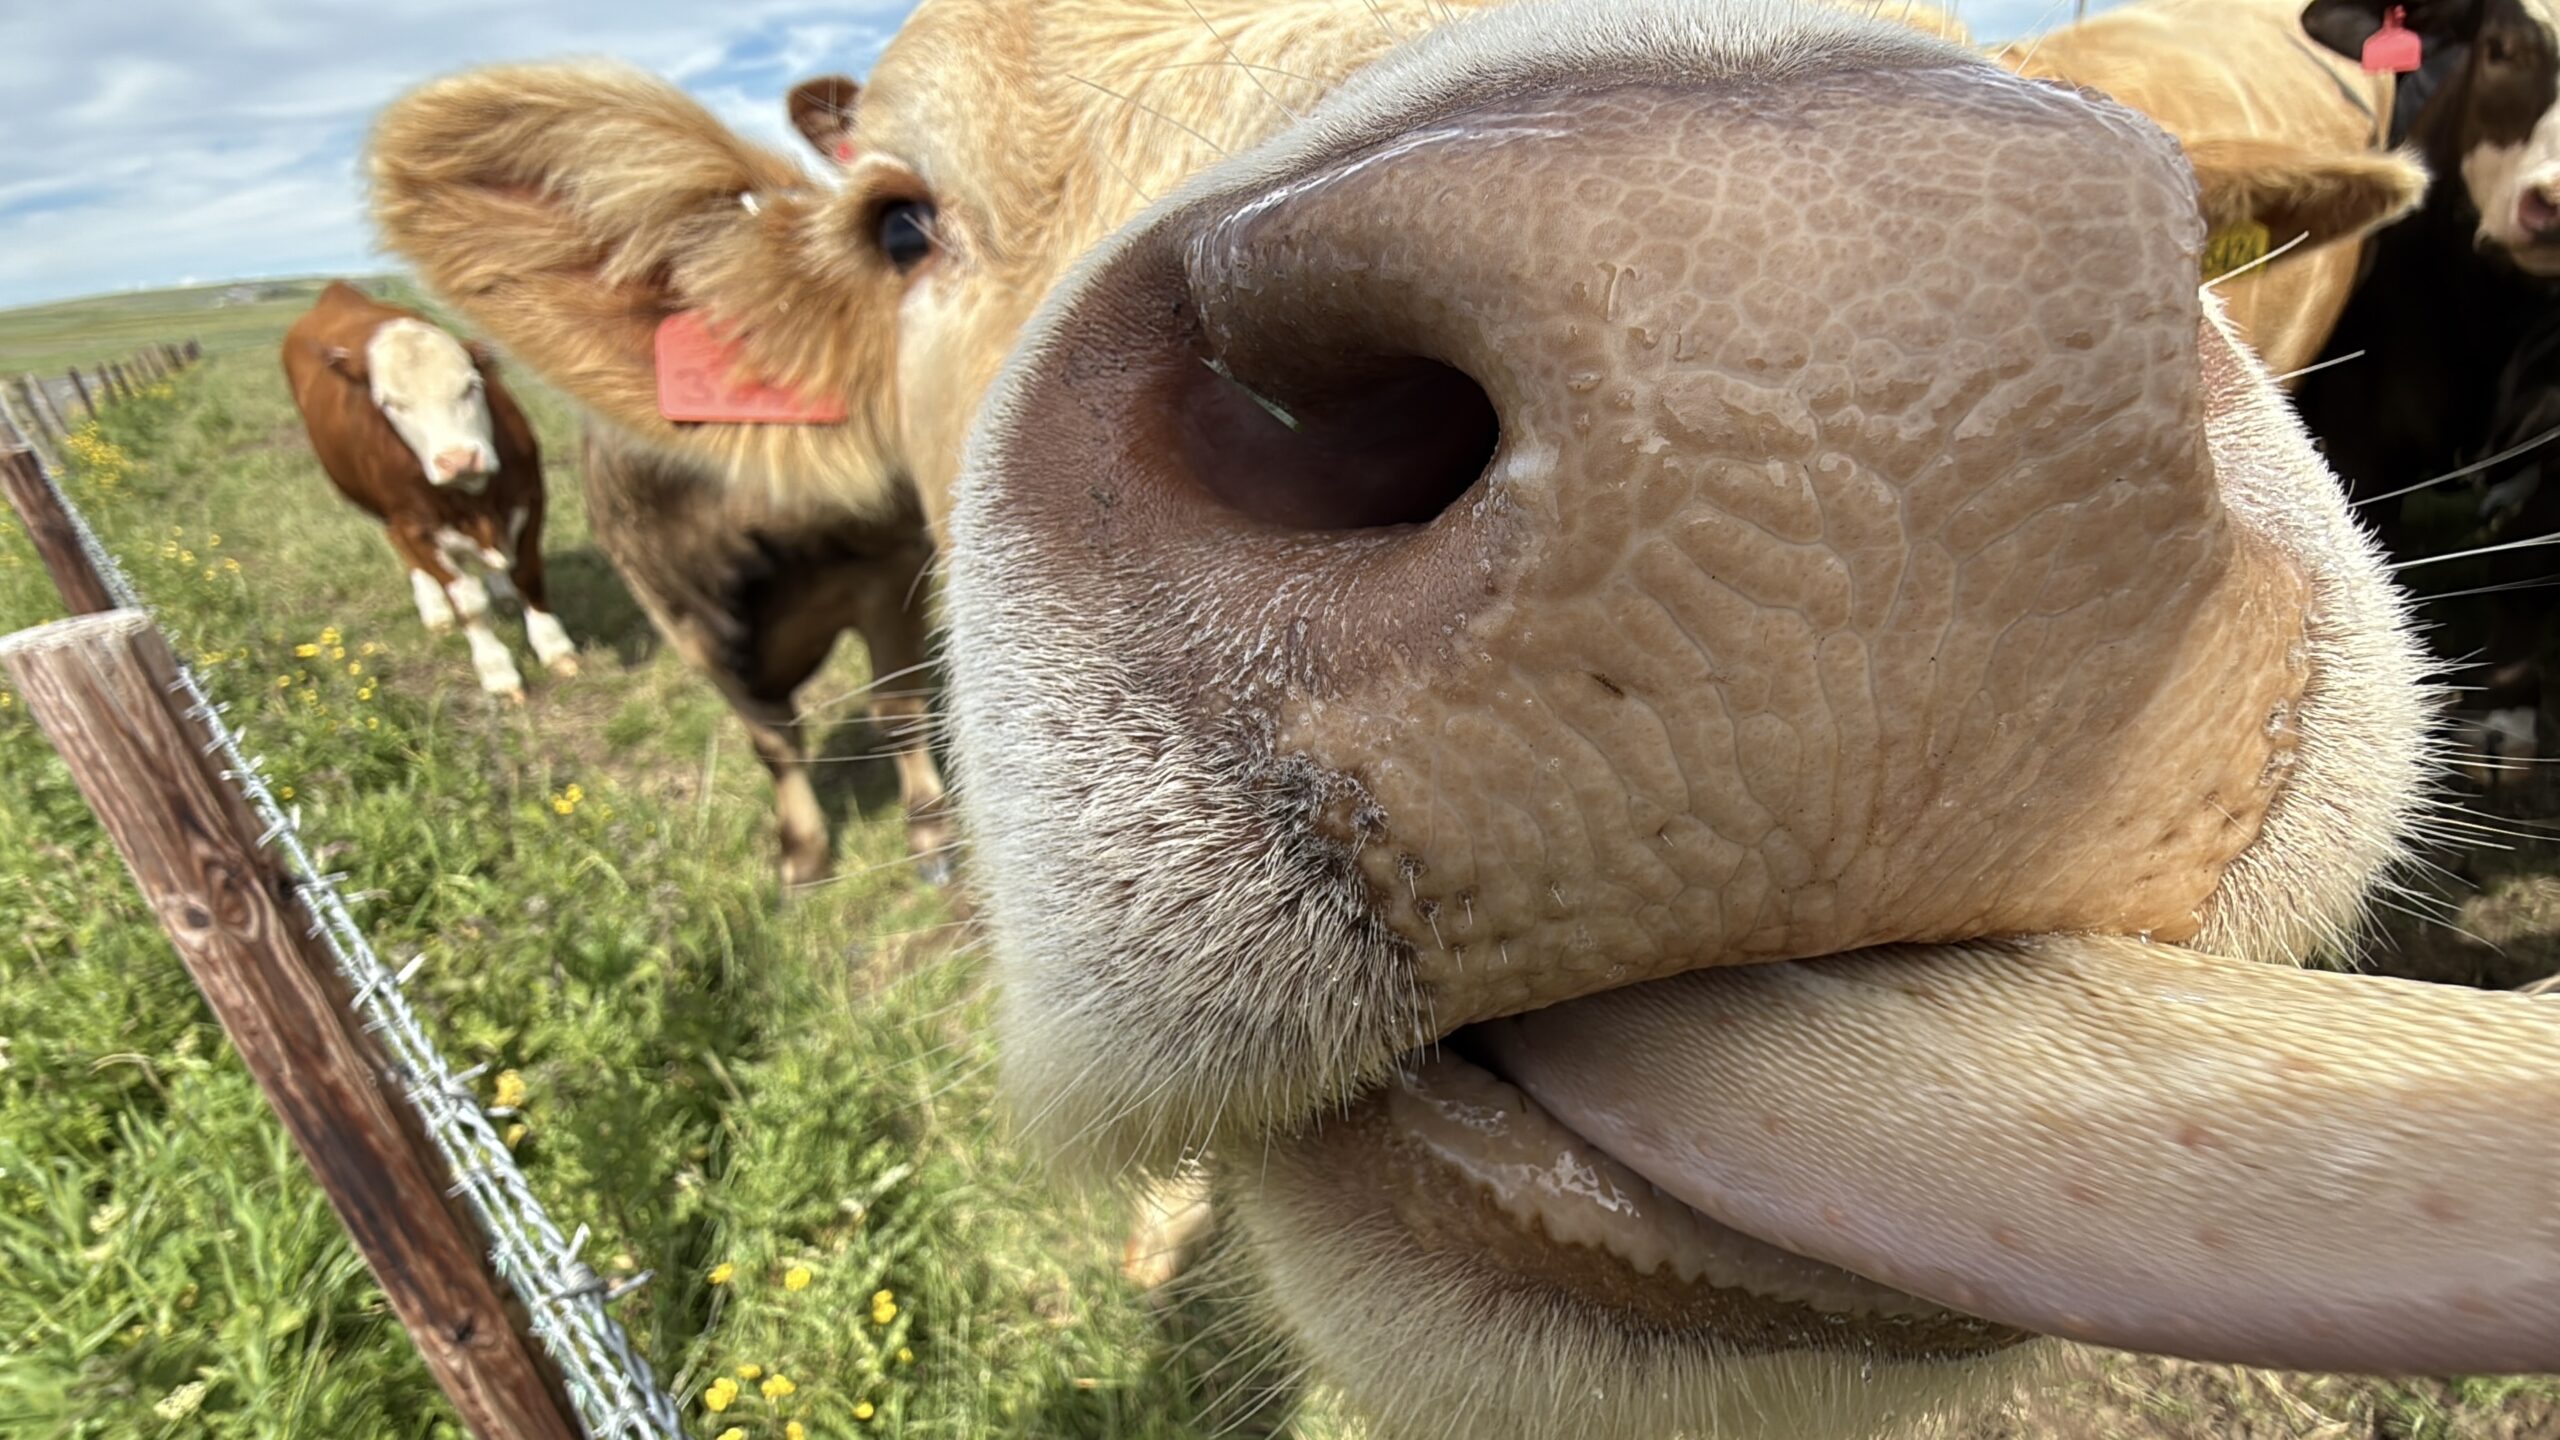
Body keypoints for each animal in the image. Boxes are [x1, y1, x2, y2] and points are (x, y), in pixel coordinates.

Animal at [280, 281, 576, 701]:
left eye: (472, 386)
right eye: (390, 403)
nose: (459, 459)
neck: (475, 498)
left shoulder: (529, 500)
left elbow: (528, 573)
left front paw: (555, 648)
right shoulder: (415, 525)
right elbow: (468, 603)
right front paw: (498, 673)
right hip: (384, 510)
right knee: (401, 547)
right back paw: (434, 608)